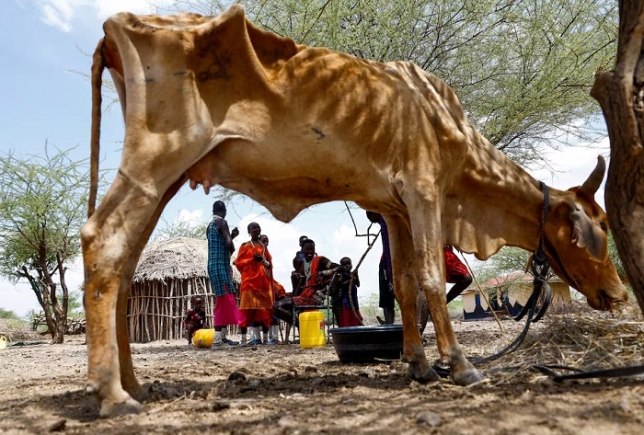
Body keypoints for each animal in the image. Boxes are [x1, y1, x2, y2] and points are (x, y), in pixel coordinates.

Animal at [82, 5, 628, 416]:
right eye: (596, 229)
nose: (620, 293)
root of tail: (117, 25)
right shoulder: (424, 193)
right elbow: (431, 279)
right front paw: (460, 366)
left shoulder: (396, 210)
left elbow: (405, 287)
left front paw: (419, 365)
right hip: (155, 165)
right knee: (101, 242)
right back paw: (113, 394)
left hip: (166, 178)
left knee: (125, 267)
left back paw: (133, 383)